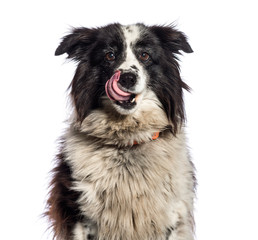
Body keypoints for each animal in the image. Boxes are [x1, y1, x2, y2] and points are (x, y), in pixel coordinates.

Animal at [45, 23, 196, 240]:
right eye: (109, 55)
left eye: (144, 55)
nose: (127, 78)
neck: (127, 141)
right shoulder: (78, 214)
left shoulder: (174, 216)